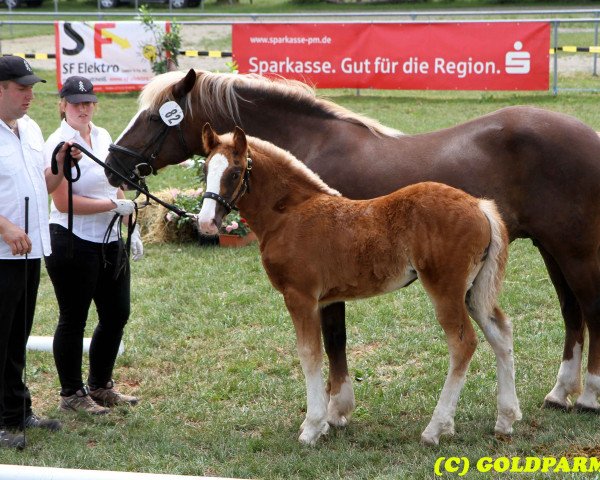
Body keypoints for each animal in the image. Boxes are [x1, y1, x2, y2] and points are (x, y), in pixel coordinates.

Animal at [197, 124, 520, 446]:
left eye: (235, 172)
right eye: (205, 170)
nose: (206, 222)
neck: (289, 214)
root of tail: (479, 205)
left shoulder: (299, 296)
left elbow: (309, 354)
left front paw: (311, 427)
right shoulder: (326, 299)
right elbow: (331, 346)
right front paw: (330, 419)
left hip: (446, 290)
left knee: (463, 344)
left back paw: (435, 429)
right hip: (474, 291)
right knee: (500, 332)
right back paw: (505, 419)